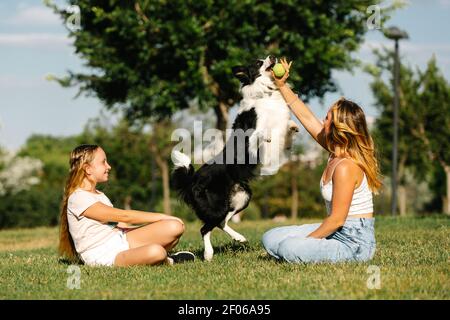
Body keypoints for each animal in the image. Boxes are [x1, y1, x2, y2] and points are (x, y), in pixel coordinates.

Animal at [171, 55, 298, 260]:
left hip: (242, 196)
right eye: (258, 62)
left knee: (222, 222)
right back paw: (208, 254)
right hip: (217, 205)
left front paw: (293, 126)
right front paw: (265, 135)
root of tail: (192, 179)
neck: (265, 95)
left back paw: (239, 238)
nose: (272, 56)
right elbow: (258, 134)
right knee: (206, 228)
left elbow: (286, 132)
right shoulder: (251, 138)